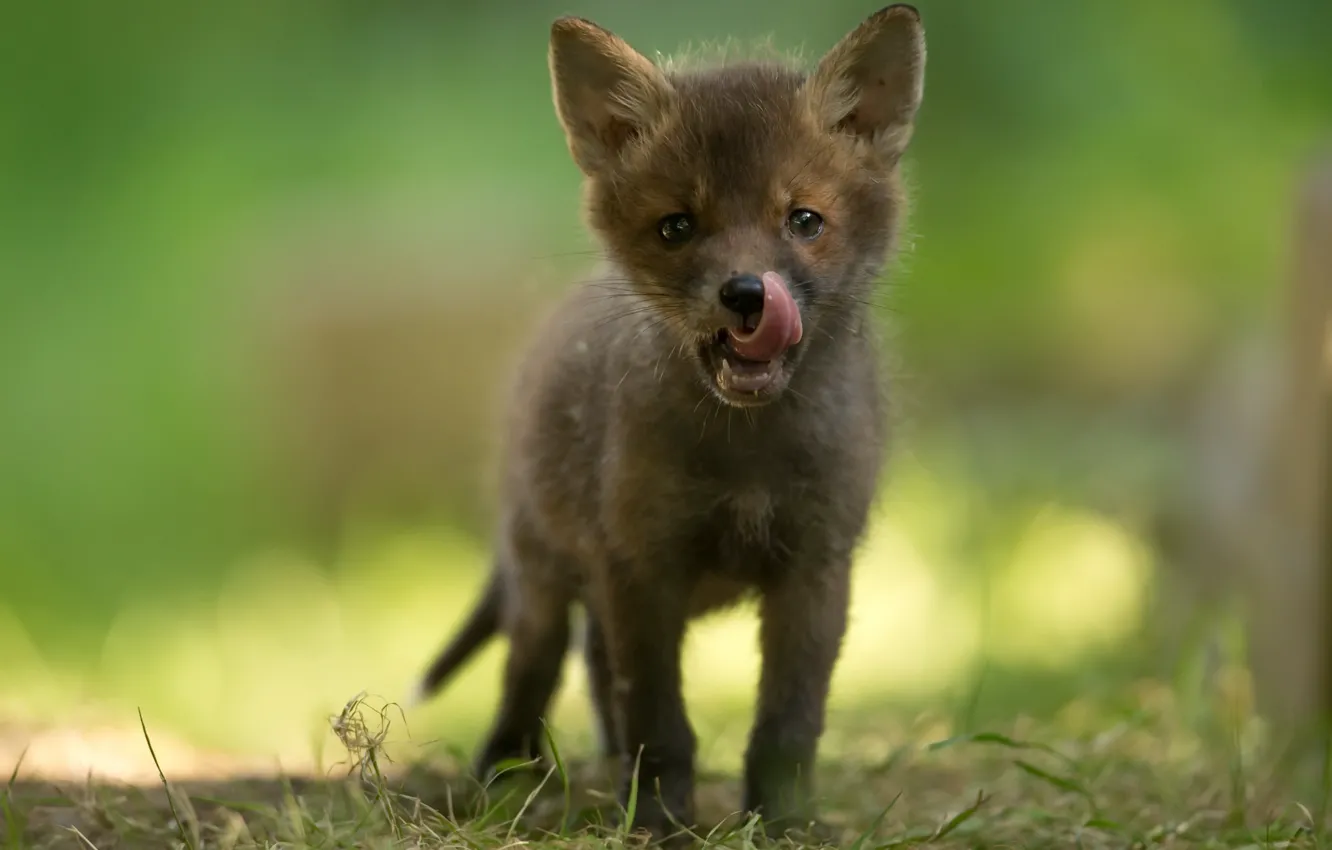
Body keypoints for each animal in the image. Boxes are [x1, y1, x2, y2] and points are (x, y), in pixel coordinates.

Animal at [409, 5, 926, 841]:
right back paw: (508, 777)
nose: (747, 295)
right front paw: (656, 819)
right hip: (542, 577)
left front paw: (783, 822)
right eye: (677, 227)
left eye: (804, 219)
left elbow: (788, 723)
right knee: (534, 670)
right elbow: (658, 717)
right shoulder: (640, 561)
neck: (748, 458)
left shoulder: (817, 566)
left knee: (593, 668)